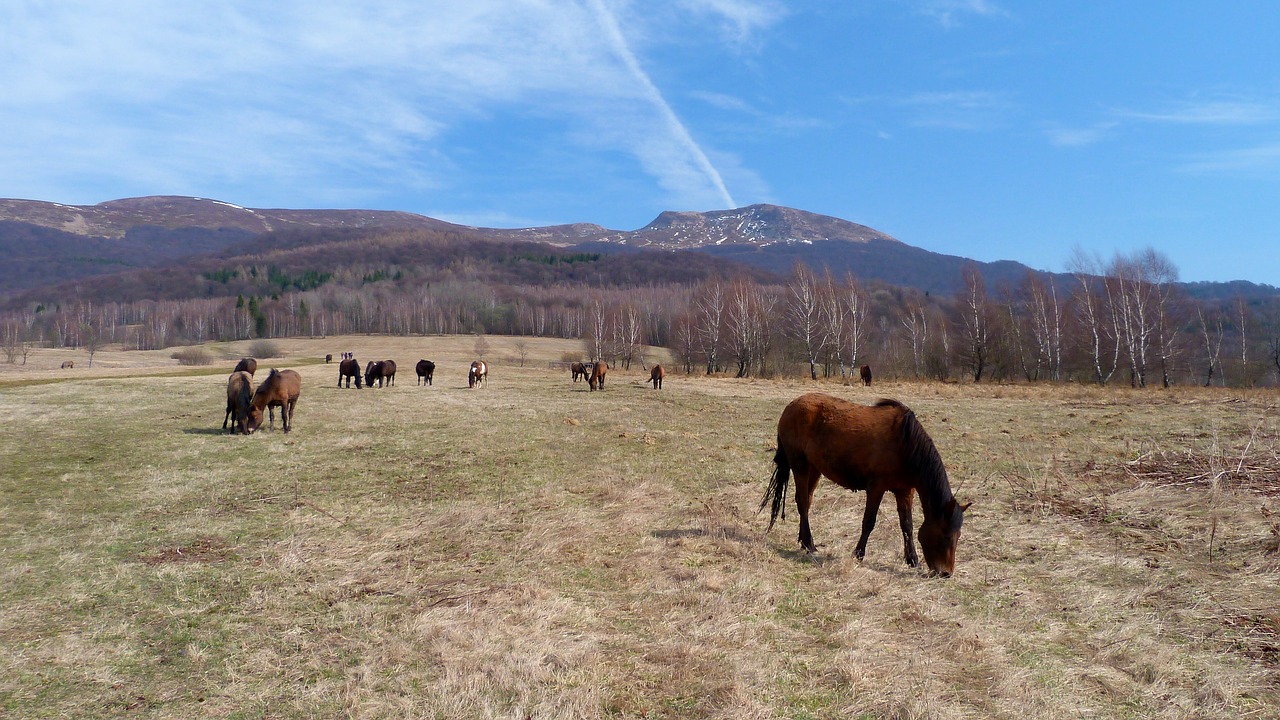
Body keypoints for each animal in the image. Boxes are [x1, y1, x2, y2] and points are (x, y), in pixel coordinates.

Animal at [757, 392, 967, 576]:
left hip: (814, 468)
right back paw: (809, 544)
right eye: (946, 536)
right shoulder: (876, 488)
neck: (905, 444)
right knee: (802, 502)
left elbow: (907, 525)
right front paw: (858, 554)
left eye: (958, 536)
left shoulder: (905, 491)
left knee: (806, 502)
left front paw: (912, 559)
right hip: (799, 465)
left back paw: (803, 540)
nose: (946, 573)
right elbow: (869, 522)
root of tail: (791, 406)